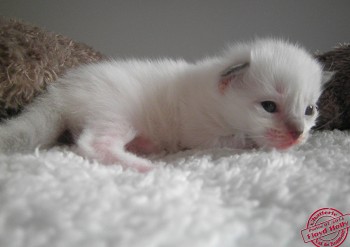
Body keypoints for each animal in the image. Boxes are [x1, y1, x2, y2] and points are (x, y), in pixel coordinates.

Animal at [0, 38, 324, 171]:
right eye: (268, 107)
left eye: (309, 110)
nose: (297, 133)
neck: (217, 101)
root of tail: (59, 90)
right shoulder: (202, 135)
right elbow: (243, 139)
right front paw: (261, 142)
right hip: (115, 114)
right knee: (91, 143)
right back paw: (143, 166)